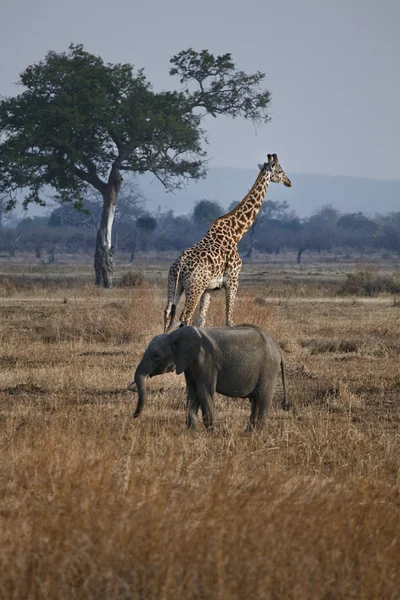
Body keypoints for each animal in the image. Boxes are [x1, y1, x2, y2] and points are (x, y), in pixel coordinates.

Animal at [130, 324, 290, 432]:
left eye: (156, 355)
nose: (133, 416)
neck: (176, 334)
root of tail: (279, 349)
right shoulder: (189, 363)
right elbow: (192, 391)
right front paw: (192, 432)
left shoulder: (205, 361)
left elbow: (204, 391)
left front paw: (212, 432)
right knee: (255, 401)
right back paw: (249, 432)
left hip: (268, 368)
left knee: (263, 399)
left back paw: (259, 433)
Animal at [162, 154, 290, 332]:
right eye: (279, 171)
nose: (288, 182)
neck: (236, 233)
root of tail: (180, 264)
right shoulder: (233, 279)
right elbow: (229, 320)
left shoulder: (209, 289)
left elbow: (201, 320)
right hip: (195, 287)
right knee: (184, 317)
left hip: (175, 283)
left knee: (168, 312)